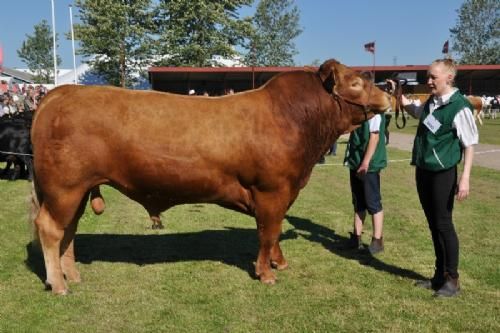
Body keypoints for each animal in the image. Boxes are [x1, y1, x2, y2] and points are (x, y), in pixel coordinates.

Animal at [30, 59, 390, 294]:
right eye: (356, 83)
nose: (388, 95)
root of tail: (59, 94)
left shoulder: (284, 193)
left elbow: (274, 232)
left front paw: (279, 263)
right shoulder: (272, 191)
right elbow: (268, 233)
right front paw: (266, 273)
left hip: (75, 190)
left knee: (69, 231)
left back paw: (72, 275)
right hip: (65, 188)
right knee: (50, 228)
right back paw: (58, 284)